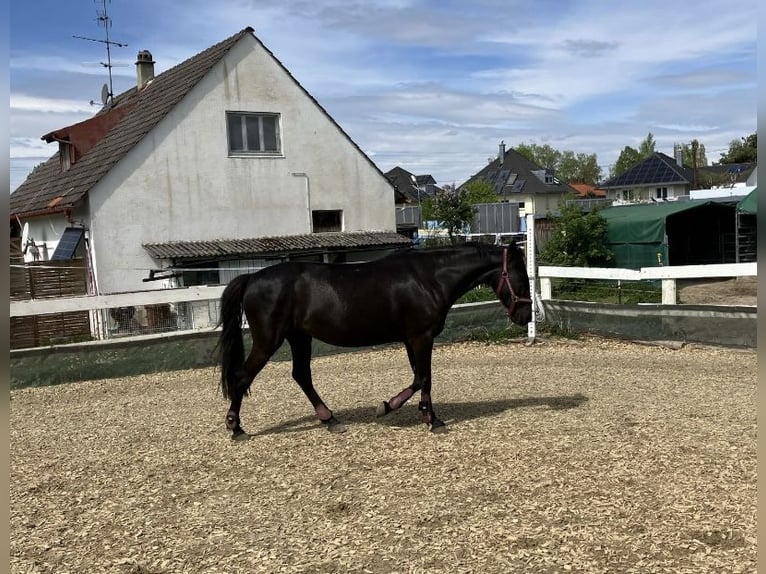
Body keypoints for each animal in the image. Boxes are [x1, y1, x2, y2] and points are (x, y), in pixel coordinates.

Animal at [214, 240, 528, 440]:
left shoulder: (410, 339)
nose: (525, 315)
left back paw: (330, 420)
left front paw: (411, 411)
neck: (429, 278)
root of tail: (252, 277)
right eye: (520, 275)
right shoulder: (421, 337)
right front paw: (424, 418)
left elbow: (418, 378)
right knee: (242, 377)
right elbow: (424, 378)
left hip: (299, 337)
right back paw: (236, 428)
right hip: (269, 340)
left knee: (301, 375)